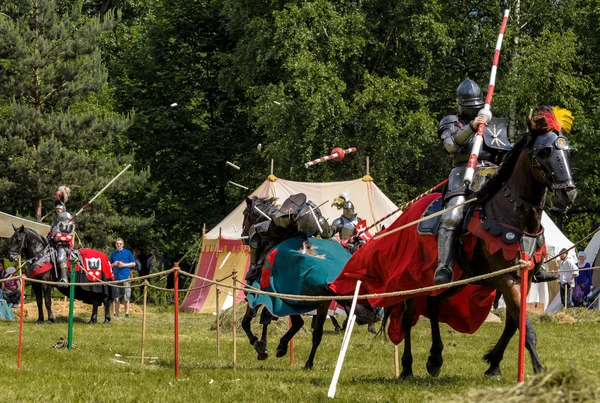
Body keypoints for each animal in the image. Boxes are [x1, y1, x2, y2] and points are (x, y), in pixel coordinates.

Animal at [332, 106, 576, 378]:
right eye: (544, 152)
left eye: (568, 151)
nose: (569, 192)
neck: (511, 213)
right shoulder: (506, 277)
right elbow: (523, 324)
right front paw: (539, 369)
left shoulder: (524, 275)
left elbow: (514, 322)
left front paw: (493, 363)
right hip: (412, 280)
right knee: (408, 316)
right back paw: (407, 367)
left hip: (458, 280)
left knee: (434, 305)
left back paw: (435, 358)